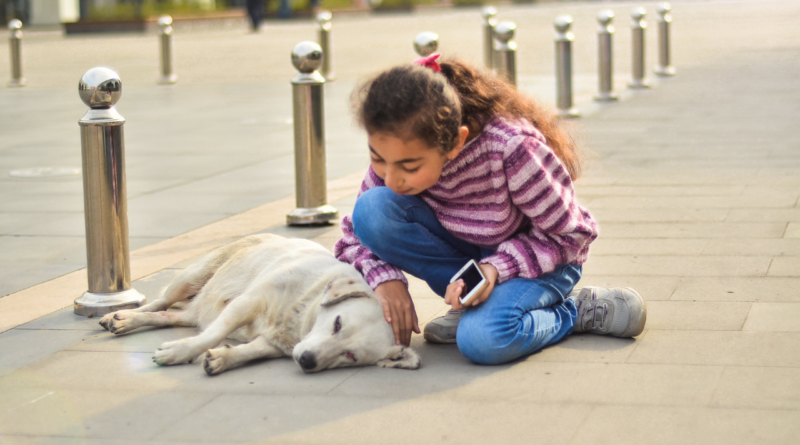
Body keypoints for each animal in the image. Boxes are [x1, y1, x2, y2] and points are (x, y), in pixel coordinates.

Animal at [97, 234, 422, 372]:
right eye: (337, 323)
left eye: (351, 356)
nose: (307, 361)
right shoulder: (249, 301)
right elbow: (213, 335)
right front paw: (181, 351)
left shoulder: (274, 343)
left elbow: (251, 350)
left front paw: (223, 357)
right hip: (191, 278)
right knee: (160, 301)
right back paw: (122, 316)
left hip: (196, 310)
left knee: (172, 316)